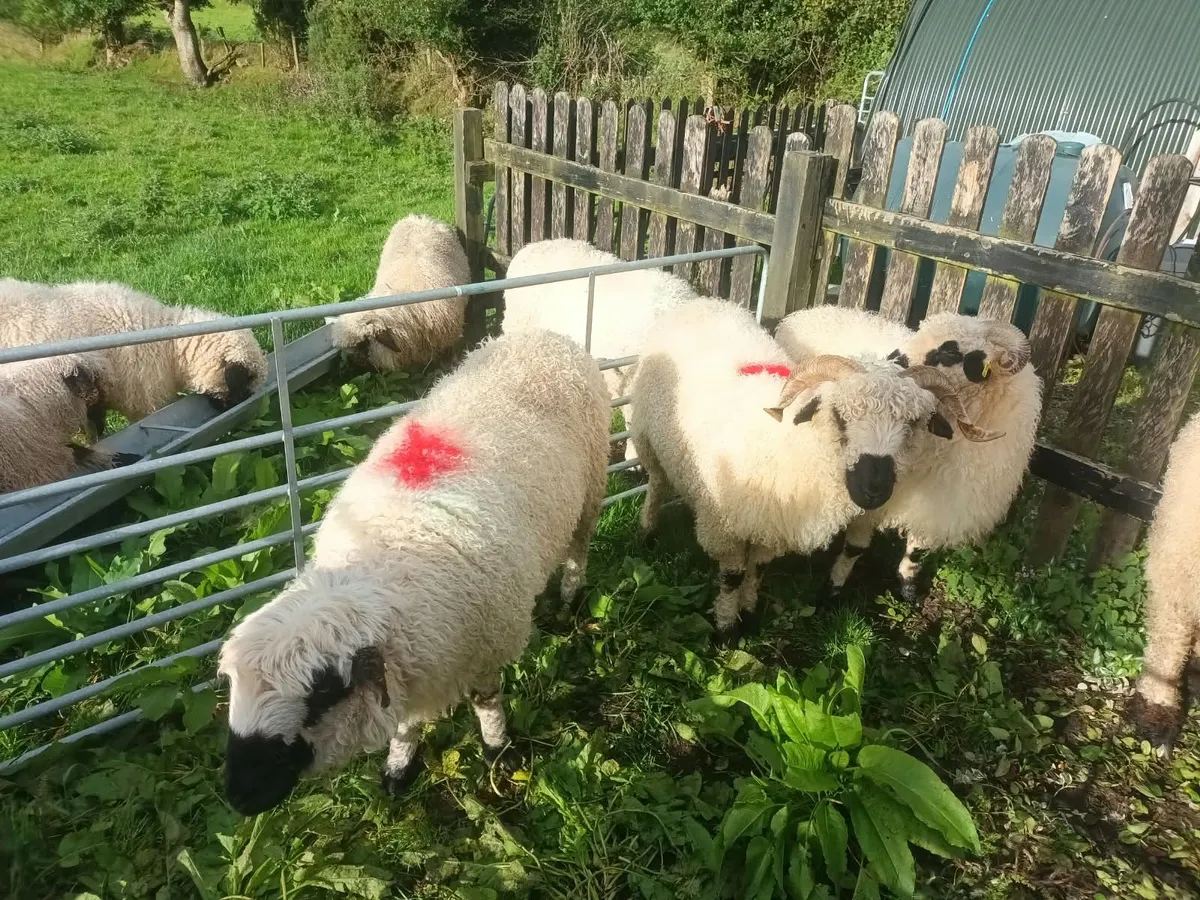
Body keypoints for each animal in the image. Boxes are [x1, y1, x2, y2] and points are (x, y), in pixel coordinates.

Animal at [217, 328, 611, 816]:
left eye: (322, 693)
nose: (238, 795)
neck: (381, 565)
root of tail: (544, 336)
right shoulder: (413, 667)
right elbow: (405, 725)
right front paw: (399, 768)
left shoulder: (487, 647)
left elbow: (486, 705)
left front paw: (497, 750)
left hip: (591, 488)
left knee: (578, 549)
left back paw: (570, 598)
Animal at [630, 298, 993, 635]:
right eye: (839, 416)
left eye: (913, 424)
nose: (874, 490)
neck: (790, 444)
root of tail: (701, 302)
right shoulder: (723, 526)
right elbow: (732, 577)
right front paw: (726, 627)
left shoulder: (772, 526)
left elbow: (757, 570)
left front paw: (748, 611)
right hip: (646, 433)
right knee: (657, 482)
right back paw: (648, 530)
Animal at [778, 308, 1041, 601]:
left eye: (950, 351)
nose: (891, 364)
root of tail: (813, 311)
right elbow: (855, 547)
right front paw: (834, 586)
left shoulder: (934, 503)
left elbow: (917, 550)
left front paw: (908, 586)